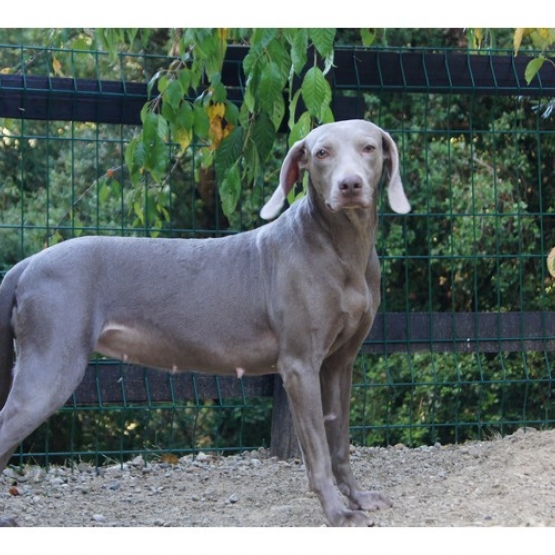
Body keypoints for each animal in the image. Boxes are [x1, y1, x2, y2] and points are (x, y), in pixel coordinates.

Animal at [0, 119, 408, 528]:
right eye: (322, 153)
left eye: (369, 147)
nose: (350, 185)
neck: (341, 249)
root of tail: (26, 264)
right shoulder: (299, 366)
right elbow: (318, 451)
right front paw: (338, 513)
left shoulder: (340, 364)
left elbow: (339, 441)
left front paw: (358, 497)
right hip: (51, 368)